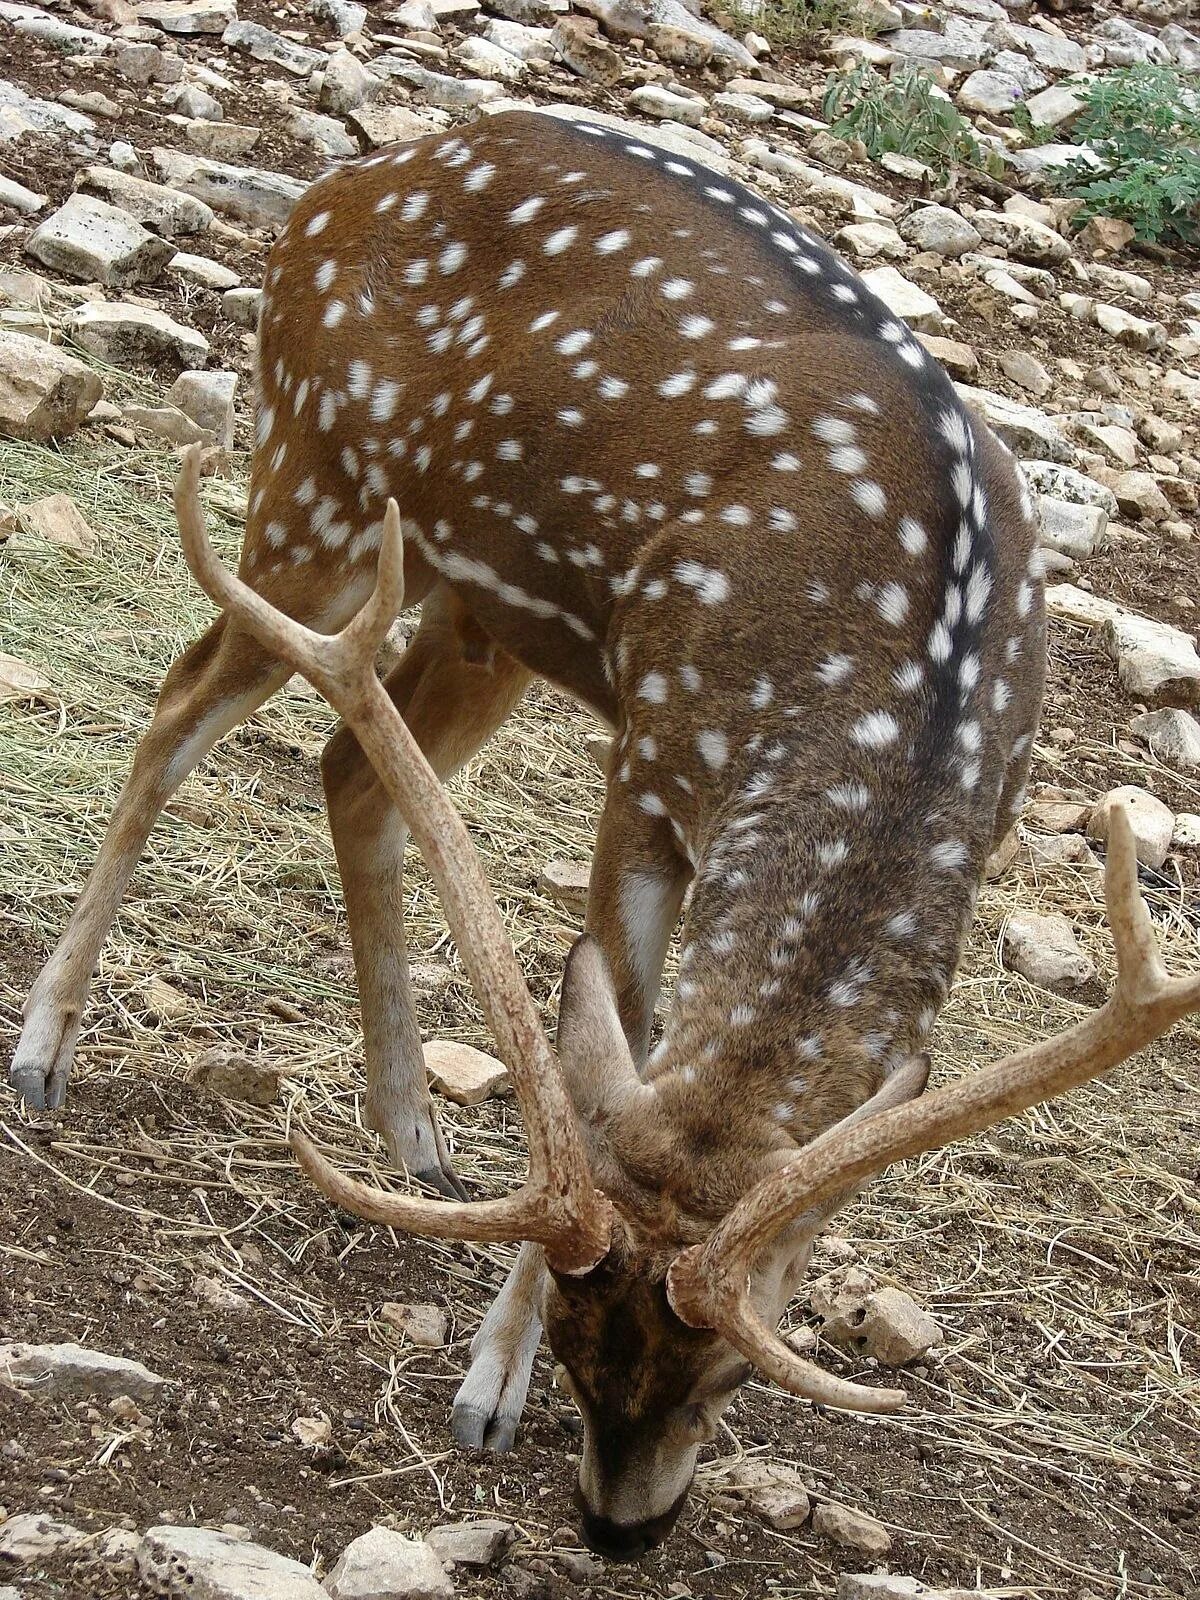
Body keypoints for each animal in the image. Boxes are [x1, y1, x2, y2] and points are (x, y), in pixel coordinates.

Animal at [11, 106, 1200, 1555]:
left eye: (738, 1373)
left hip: (478, 601)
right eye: (582, 1344)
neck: (903, 688)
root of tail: (336, 187)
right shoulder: (653, 755)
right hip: (316, 473)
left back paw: (413, 1132)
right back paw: (45, 1049)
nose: (619, 1525)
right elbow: (613, 1037)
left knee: (358, 765)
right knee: (179, 708)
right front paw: (485, 1385)